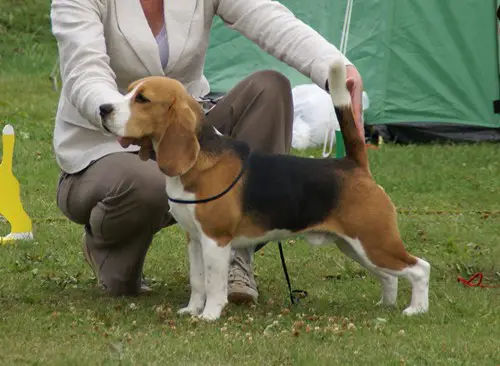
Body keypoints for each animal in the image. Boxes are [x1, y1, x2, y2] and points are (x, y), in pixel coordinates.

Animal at [100, 59, 430, 320]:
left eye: (142, 99)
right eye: (128, 90)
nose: (103, 108)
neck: (200, 160)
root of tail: (353, 164)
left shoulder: (216, 240)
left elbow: (214, 283)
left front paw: (209, 315)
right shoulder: (194, 239)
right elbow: (198, 281)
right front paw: (192, 310)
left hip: (375, 242)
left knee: (420, 268)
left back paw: (416, 309)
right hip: (357, 246)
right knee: (390, 277)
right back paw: (385, 305)